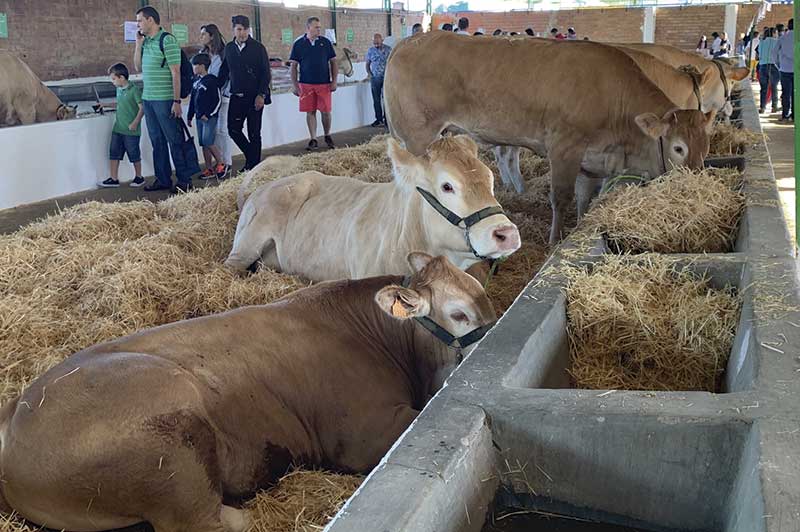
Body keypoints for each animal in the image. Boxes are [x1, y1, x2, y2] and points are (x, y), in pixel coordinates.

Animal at [0, 252, 494, 532]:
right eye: (459, 314)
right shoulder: (365, 434)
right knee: (203, 523)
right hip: (172, 448)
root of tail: (18, 409)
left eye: (487, 300)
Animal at [384, 31, 716, 243]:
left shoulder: (593, 159)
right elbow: (561, 198)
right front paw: (555, 240)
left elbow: (584, 197)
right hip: (417, 136)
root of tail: (408, 42)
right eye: (678, 148)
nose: (695, 184)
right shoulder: (564, 148)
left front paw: (580, 226)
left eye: (706, 146)